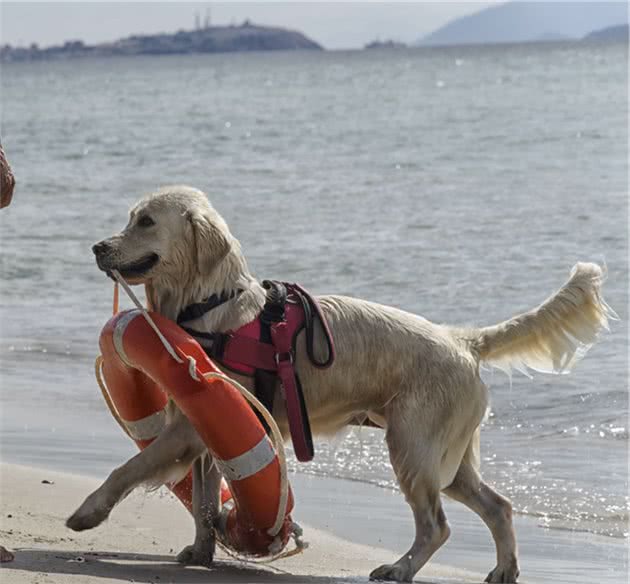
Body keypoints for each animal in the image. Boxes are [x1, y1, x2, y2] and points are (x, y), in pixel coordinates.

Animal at [68, 185, 612, 580]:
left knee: (436, 526)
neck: (210, 305)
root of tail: (463, 340)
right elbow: (203, 503)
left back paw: (399, 569)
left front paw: (88, 512)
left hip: (412, 446)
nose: (96, 246)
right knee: (499, 506)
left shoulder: (190, 428)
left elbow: (129, 469)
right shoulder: (202, 430)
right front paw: (202, 552)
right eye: (131, 217)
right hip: (448, 458)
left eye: (146, 221)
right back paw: (503, 570)